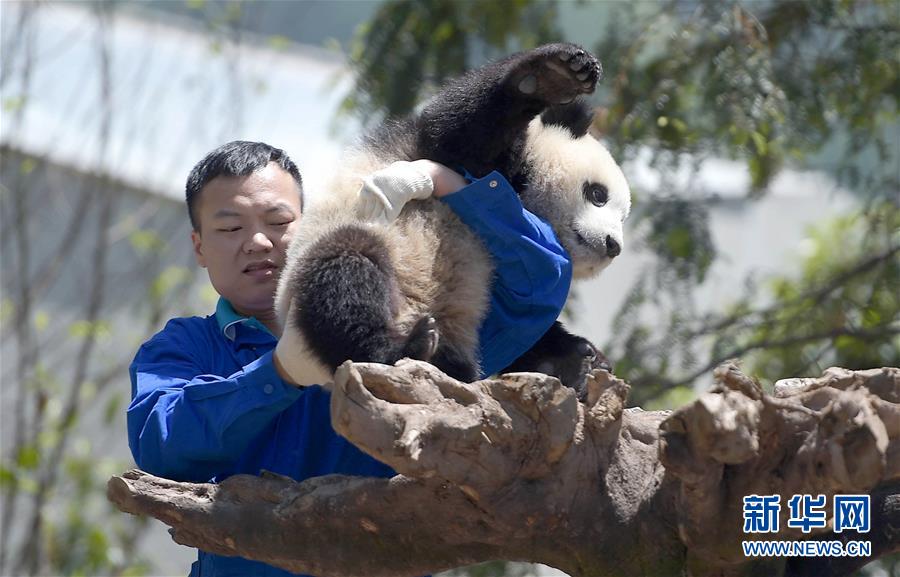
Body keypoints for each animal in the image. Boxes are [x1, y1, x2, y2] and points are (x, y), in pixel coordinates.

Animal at [274, 42, 632, 398]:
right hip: (338, 256)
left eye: (623, 217)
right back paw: (403, 347)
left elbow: (521, 329)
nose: (613, 245)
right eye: (598, 194)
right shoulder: (444, 153)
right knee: (345, 276)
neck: (527, 196)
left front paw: (581, 360)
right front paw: (553, 76)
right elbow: (460, 131)